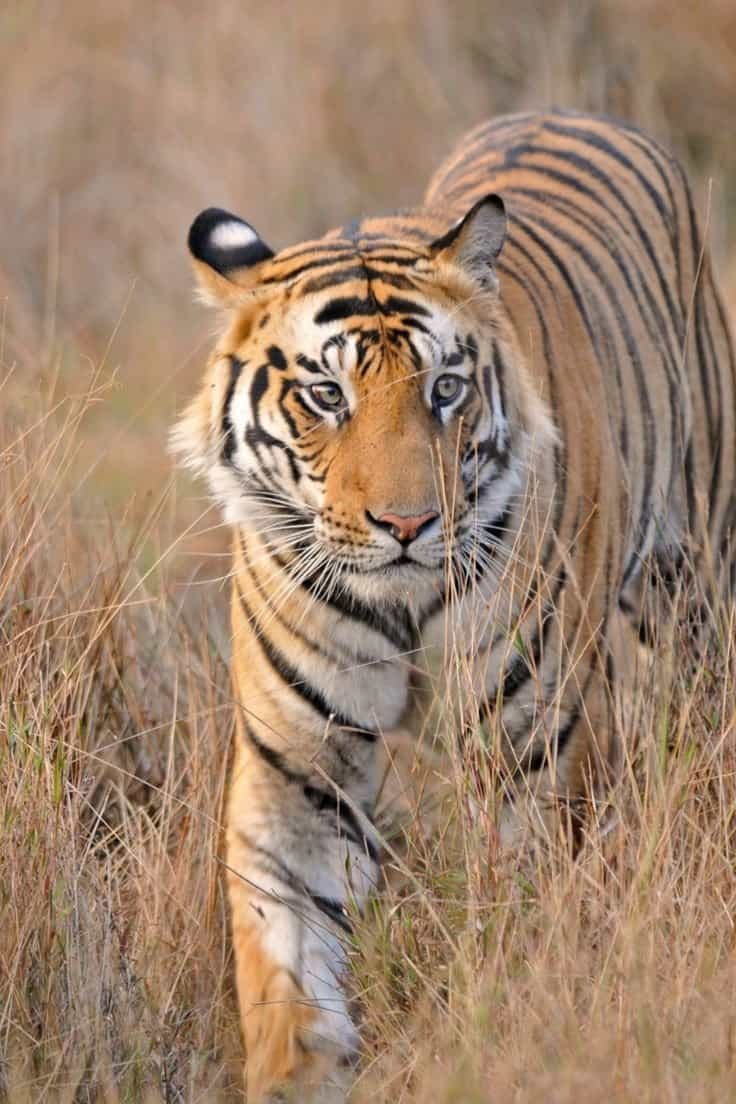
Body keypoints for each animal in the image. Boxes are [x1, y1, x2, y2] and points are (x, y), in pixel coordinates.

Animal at [172, 110, 736, 1101]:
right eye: (326, 394)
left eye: (445, 390)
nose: (407, 523)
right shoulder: (298, 766)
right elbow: (286, 963)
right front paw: (300, 1070)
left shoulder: (528, 747)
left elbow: (520, 915)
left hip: (695, 576)